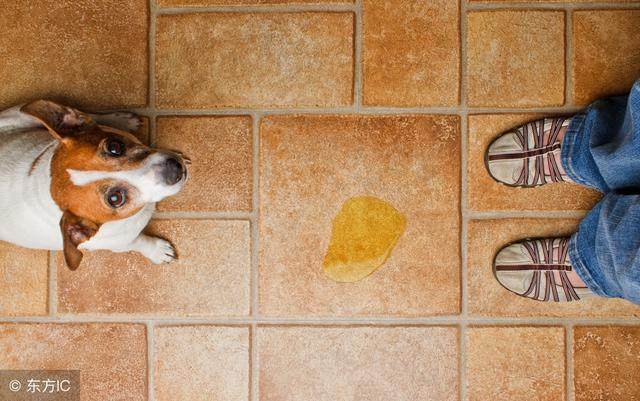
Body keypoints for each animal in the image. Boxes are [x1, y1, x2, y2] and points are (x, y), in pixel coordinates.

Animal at [0, 99, 189, 270]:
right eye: (115, 198)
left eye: (114, 146)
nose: (175, 168)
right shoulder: (121, 244)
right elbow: (141, 242)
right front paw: (158, 251)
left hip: (19, 114)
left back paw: (120, 120)